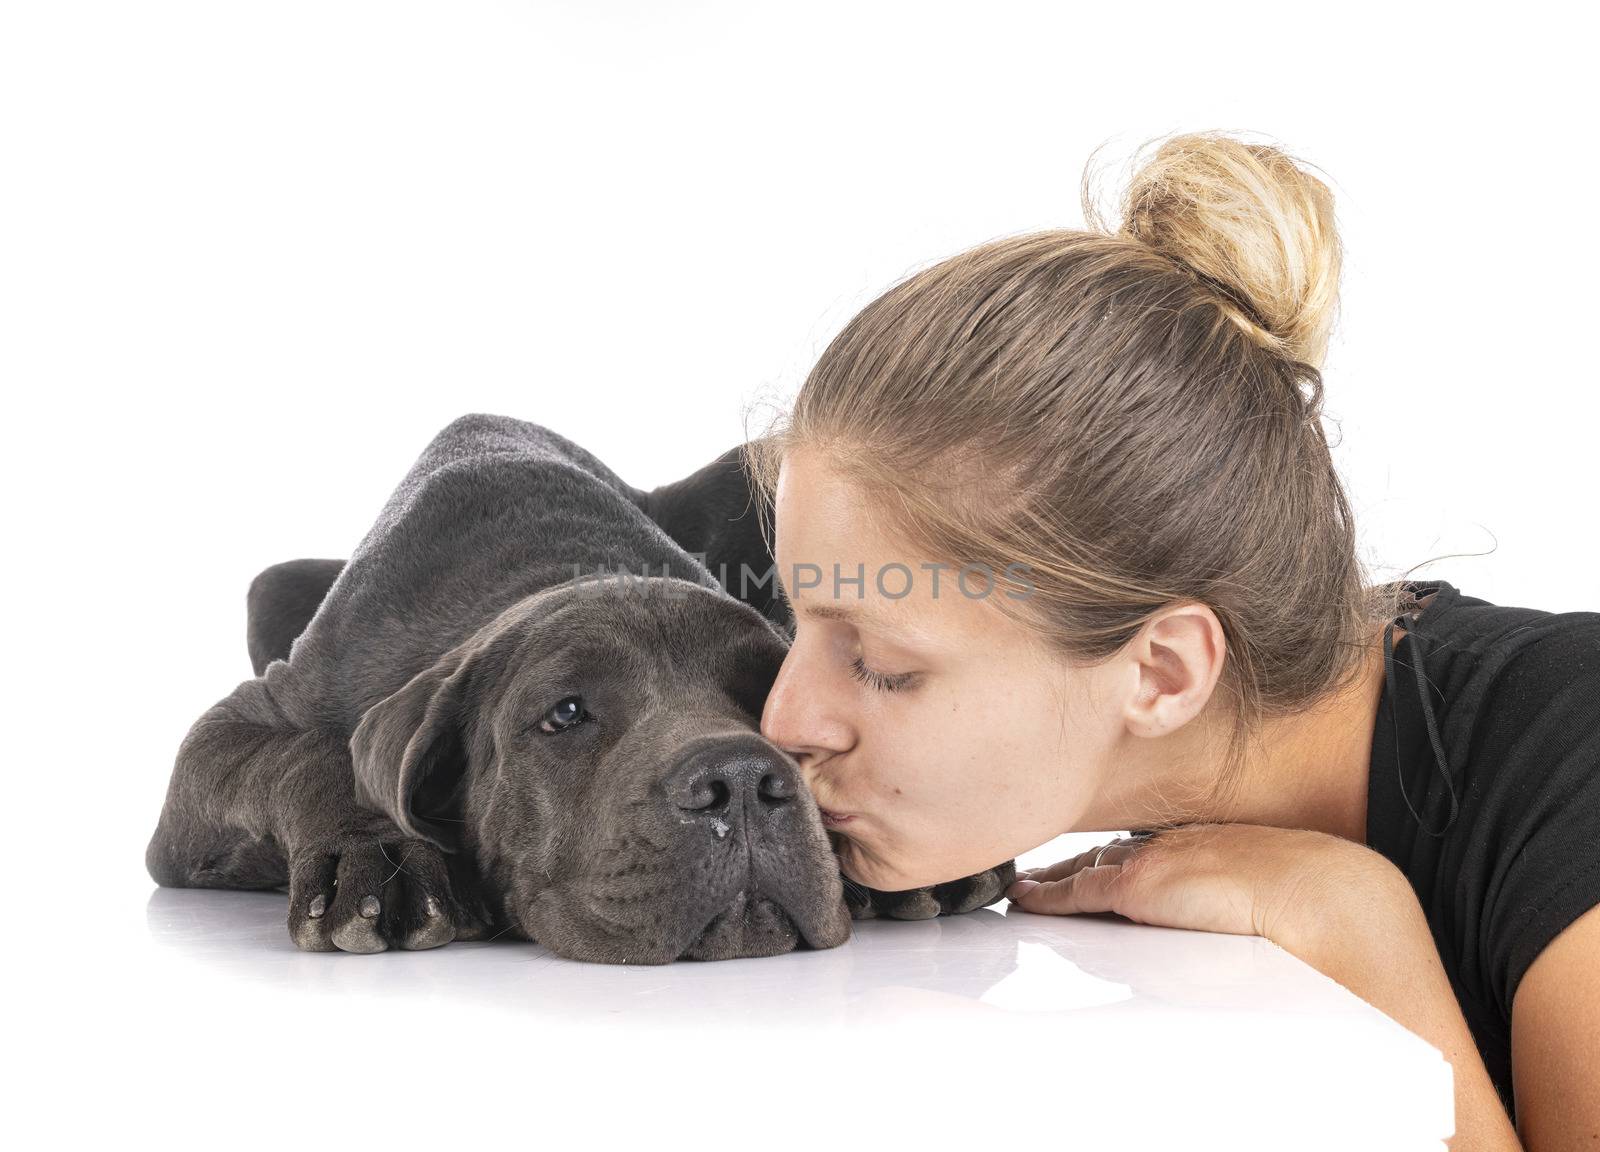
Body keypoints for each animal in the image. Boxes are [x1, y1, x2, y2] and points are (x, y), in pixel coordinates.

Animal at [147, 412, 1011, 960]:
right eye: (565, 714)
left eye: (769, 696)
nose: (739, 779)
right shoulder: (234, 734)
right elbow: (304, 755)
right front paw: (378, 857)